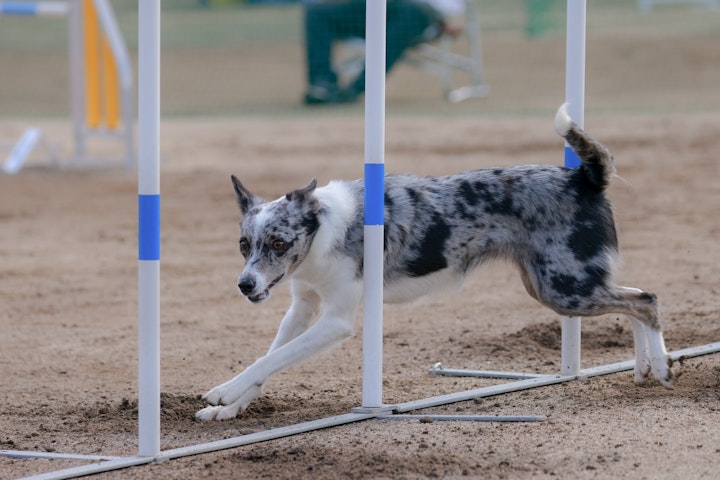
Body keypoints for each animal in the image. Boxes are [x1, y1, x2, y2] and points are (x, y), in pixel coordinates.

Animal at [195, 105, 676, 420]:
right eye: (244, 244)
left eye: (278, 243)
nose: (245, 285)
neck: (323, 232)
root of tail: (582, 178)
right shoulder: (302, 308)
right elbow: (269, 359)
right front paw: (231, 409)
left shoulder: (335, 322)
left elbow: (270, 360)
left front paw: (223, 393)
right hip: (559, 286)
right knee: (635, 298)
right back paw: (643, 368)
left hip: (564, 287)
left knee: (646, 300)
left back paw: (663, 368)